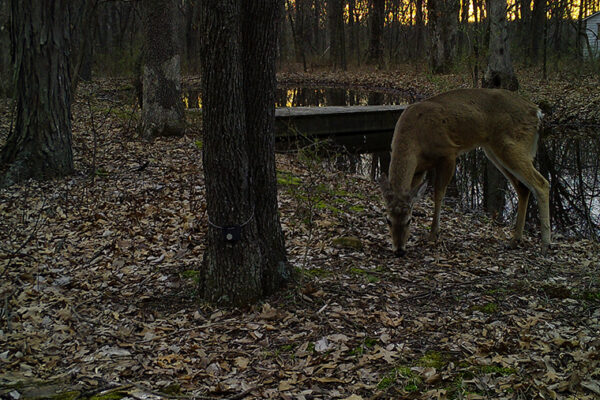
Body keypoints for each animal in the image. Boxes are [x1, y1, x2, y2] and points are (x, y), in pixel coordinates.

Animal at [382, 88, 552, 256]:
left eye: (409, 220)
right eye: (388, 220)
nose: (399, 250)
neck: (416, 138)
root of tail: (537, 112)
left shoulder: (448, 153)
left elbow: (439, 193)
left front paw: (433, 234)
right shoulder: (419, 169)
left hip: (510, 144)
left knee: (541, 183)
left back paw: (545, 245)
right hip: (494, 150)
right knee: (523, 188)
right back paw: (515, 240)